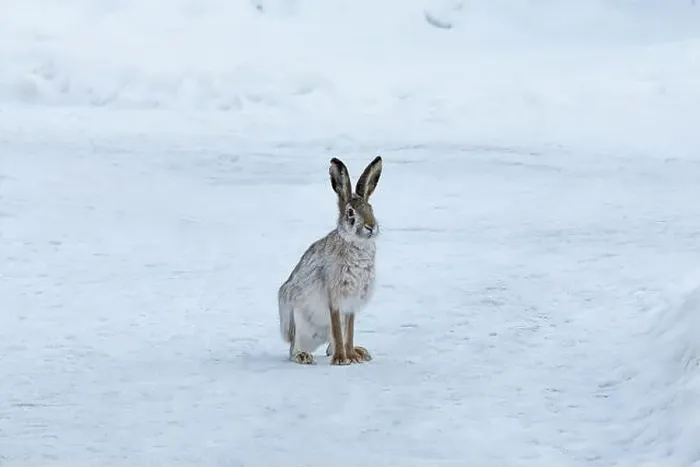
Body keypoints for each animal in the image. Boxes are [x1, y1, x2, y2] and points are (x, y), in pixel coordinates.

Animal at [278, 155, 383, 365]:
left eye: (371, 208)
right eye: (350, 212)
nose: (371, 226)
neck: (355, 243)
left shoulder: (350, 304)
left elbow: (348, 331)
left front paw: (351, 356)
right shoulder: (334, 296)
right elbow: (338, 330)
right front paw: (342, 360)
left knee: (330, 345)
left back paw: (359, 352)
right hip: (296, 319)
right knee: (293, 348)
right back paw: (304, 356)